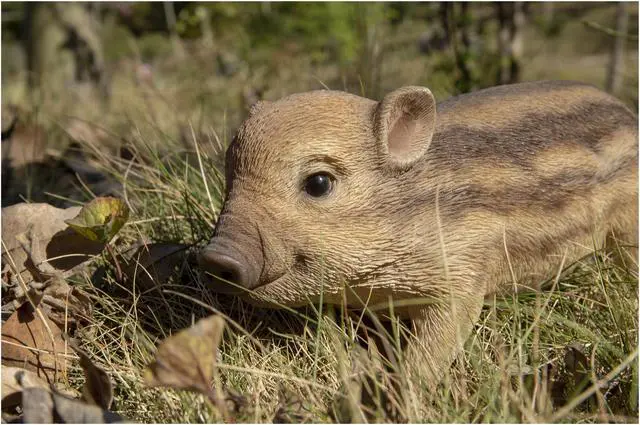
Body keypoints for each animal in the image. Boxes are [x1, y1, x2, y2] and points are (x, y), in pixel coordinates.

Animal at [198, 80, 638, 384]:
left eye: (319, 183)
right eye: (229, 175)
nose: (214, 256)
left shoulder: (462, 271)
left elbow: (437, 343)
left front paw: (404, 389)